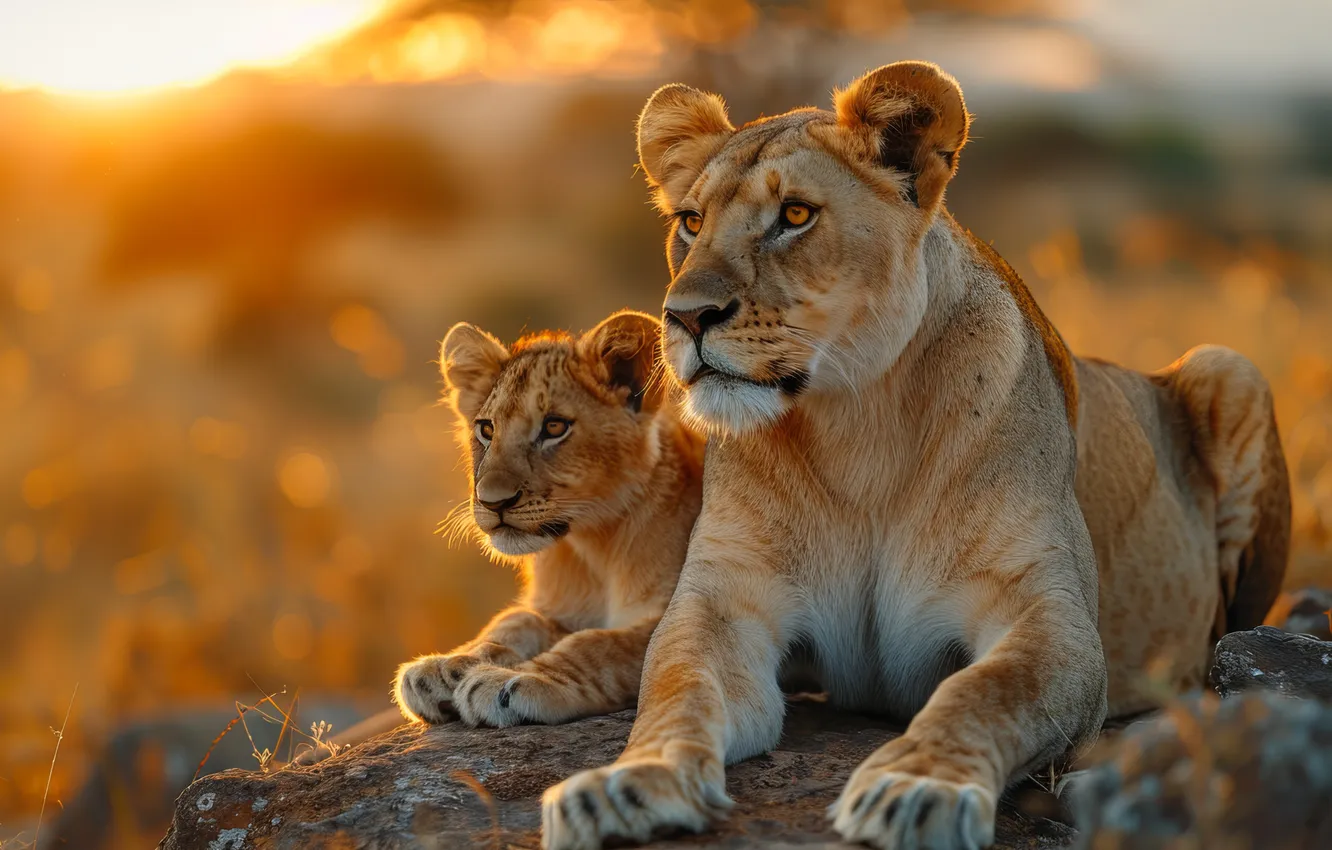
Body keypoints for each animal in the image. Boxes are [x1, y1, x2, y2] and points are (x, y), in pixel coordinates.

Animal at [390, 310, 705, 729]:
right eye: (486, 429)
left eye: (555, 427)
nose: (492, 501)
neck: (593, 548)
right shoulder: (560, 610)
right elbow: (515, 621)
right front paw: (449, 665)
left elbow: (600, 644)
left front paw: (512, 681)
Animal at [540, 62, 1289, 850]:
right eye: (690, 222)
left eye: (795, 216)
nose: (684, 317)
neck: (854, 426)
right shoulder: (723, 603)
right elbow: (678, 688)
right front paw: (629, 783)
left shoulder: (1052, 620)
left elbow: (985, 691)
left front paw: (918, 787)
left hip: (1229, 366)